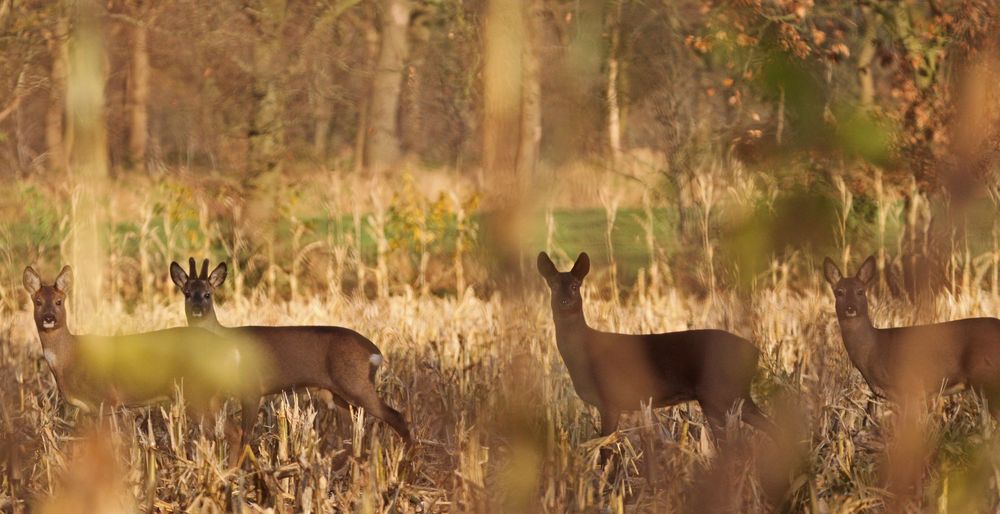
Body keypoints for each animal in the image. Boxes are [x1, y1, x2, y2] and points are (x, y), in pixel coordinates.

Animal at [23, 266, 246, 414]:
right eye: (38, 301)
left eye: (59, 301)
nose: (49, 318)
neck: (70, 358)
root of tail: (230, 349)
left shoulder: (106, 399)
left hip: (197, 392)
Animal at [170, 258, 412, 458]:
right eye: (187, 293)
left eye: (208, 294)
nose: (197, 310)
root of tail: (374, 351)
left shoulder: (252, 388)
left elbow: (245, 436)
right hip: (337, 393)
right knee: (351, 428)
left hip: (356, 384)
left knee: (397, 416)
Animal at [540, 252, 772, 444]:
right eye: (552, 285)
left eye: (575, 286)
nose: (564, 301)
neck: (583, 353)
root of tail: (756, 353)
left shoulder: (611, 399)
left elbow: (606, 451)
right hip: (723, 398)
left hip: (725, 391)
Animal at [824, 256, 1000, 412]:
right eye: (839, 292)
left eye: (860, 291)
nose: (850, 308)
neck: (875, 350)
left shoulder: (910, 388)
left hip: (986, 376)